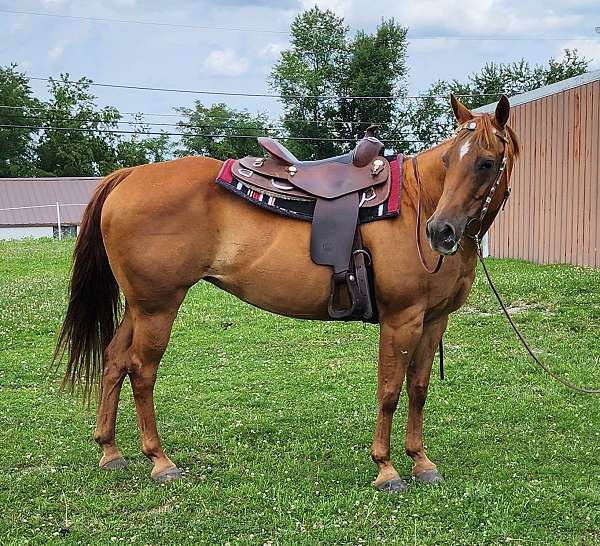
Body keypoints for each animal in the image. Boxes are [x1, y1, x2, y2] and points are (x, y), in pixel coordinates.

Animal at [54, 95, 516, 490]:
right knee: (142, 370)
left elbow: (418, 389)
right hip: (158, 307)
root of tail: (130, 174)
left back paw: (111, 451)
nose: (441, 232)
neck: (419, 202)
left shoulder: (434, 320)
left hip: (140, 306)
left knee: (114, 360)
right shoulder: (402, 319)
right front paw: (386, 468)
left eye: (486, 162)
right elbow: (388, 391)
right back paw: (160, 460)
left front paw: (420, 461)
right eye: (449, 159)